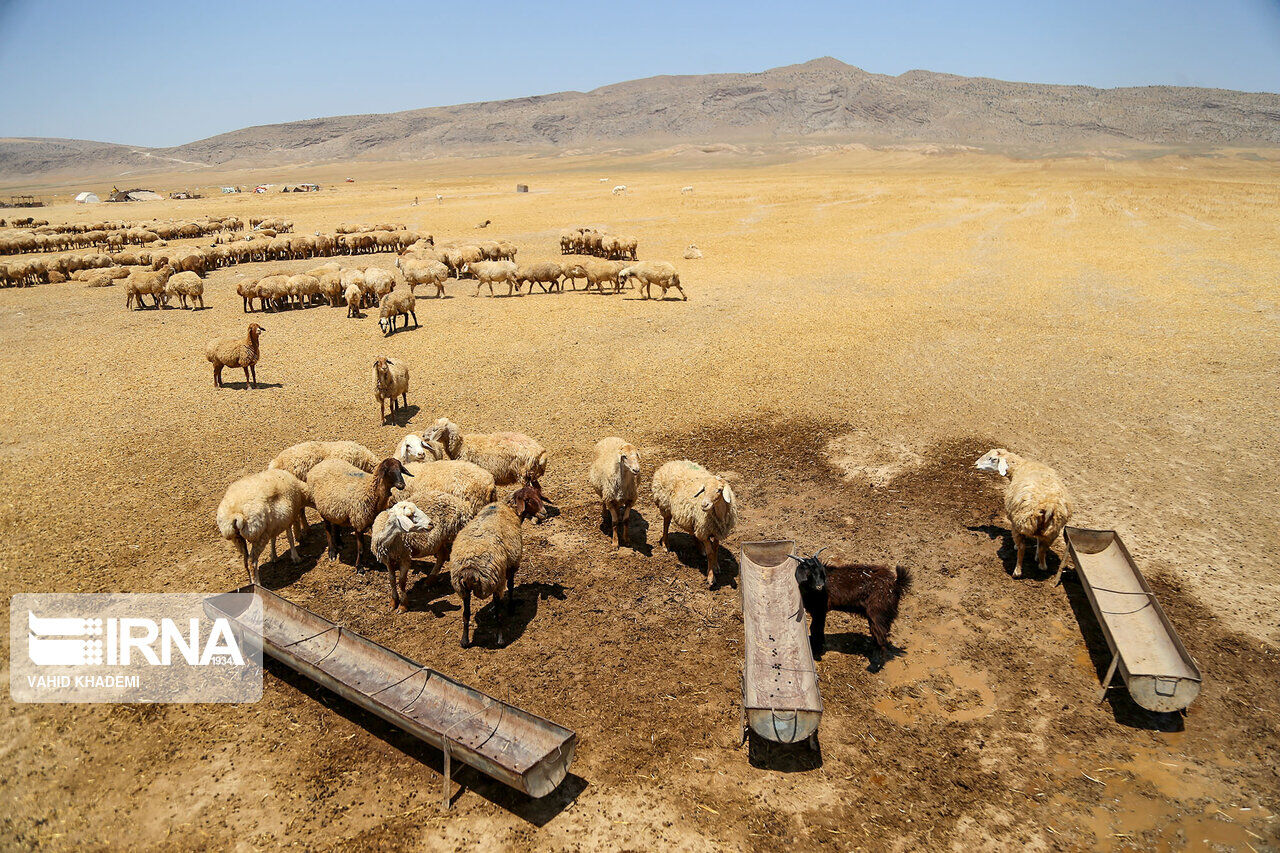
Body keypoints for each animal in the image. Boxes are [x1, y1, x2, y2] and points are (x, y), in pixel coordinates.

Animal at [450, 484, 545, 645]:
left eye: (539, 495)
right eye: (528, 500)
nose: (544, 513)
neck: (509, 509)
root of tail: (470, 570)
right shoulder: (512, 565)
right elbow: (511, 586)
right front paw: (511, 607)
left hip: (462, 589)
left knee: (465, 614)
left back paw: (464, 641)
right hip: (496, 582)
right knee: (498, 613)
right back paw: (501, 639)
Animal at [972, 448, 1075, 581]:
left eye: (992, 459)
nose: (975, 464)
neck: (1020, 467)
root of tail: (1048, 505)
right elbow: (1038, 541)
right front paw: (1036, 556)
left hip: (1019, 523)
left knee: (1022, 548)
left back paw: (1017, 571)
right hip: (1053, 530)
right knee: (1043, 548)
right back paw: (1042, 564)